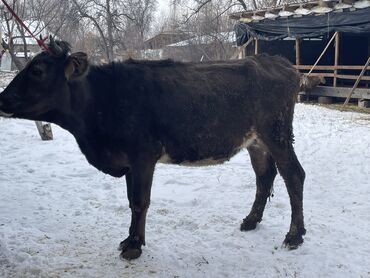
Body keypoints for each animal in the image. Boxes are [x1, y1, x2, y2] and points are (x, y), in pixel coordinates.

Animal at [0, 39, 306, 260]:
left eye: (37, 70)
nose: (2, 98)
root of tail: (278, 62)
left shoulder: (143, 156)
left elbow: (140, 201)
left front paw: (134, 246)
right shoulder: (128, 162)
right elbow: (130, 201)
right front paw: (130, 239)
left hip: (276, 134)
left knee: (293, 175)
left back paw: (294, 235)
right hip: (256, 141)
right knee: (264, 176)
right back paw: (251, 221)